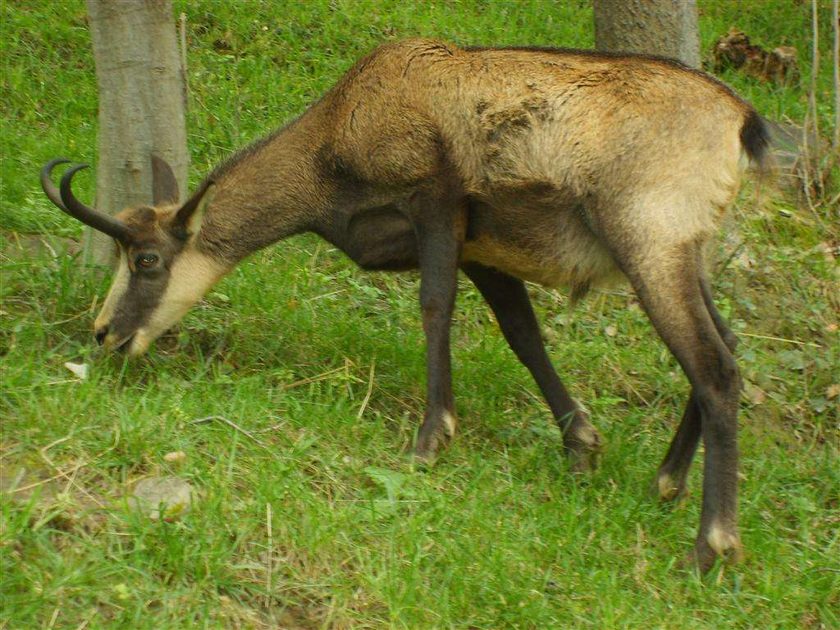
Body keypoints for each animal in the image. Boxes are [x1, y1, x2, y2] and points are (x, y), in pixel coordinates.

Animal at [42, 39, 770, 572]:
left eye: (146, 260)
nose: (105, 333)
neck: (337, 137)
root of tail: (741, 121)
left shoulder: (436, 203)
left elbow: (433, 306)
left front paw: (429, 440)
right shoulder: (482, 249)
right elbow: (522, 333)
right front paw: (581, 445)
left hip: (650, 243)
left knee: (714, 366)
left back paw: (711, 545)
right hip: (684, 252)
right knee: (728, 343)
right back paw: (665, 482)